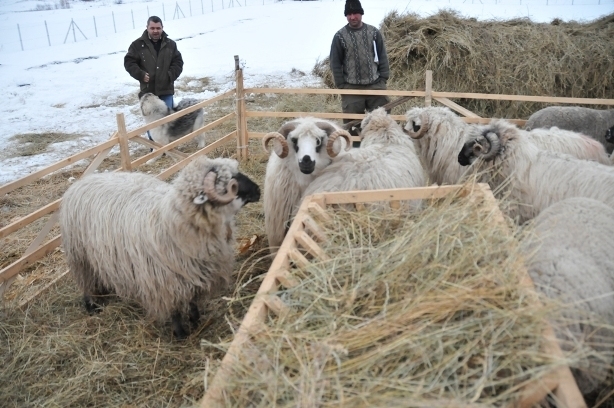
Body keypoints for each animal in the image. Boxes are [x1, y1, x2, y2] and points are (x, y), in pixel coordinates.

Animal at [62, 156, 262, 338]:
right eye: (232, 184)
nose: (258, 190)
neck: (174, 219)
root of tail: (83, 180)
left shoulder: (194, 273)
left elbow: (192, 300)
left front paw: (195, 320)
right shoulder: (165, 282)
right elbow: (174, 310)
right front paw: (180, 333)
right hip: (80, 255)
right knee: (85, 280)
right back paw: (91, 306)